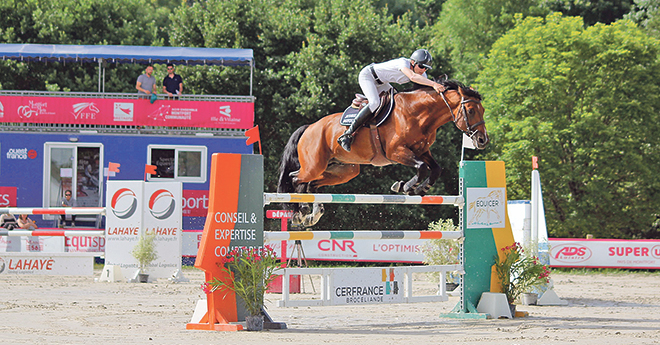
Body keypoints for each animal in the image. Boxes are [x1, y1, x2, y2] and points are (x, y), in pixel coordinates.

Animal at [276, 79, 488, 227]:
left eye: (483, 110)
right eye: (470, 110)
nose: (483, 140)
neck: (418, 113)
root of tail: (309, 127)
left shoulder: (421, 150)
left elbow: (435, 169)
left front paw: (418, 189)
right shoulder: (396, 152)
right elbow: (421, 167)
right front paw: (404, 186)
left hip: (344, 170)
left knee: (312, 184)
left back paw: (313, 214)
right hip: (314, 165)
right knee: (296, 178)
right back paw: (301, 211)